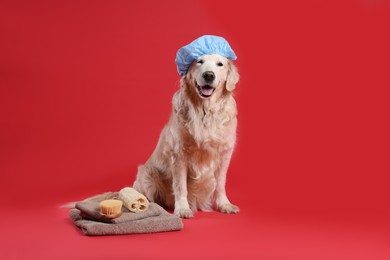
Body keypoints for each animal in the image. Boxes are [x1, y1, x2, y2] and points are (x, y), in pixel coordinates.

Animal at [133, 53, 239, 218]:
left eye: (220, 64)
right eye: (199, 62)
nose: (209, 75)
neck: (205, 111)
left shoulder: (224, 153)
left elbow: (221, 184)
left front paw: (224, 205)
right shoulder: (178, 154)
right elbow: (180, 185)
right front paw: (182, 208)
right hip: (147, 173)